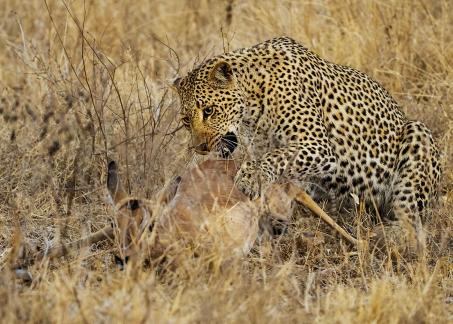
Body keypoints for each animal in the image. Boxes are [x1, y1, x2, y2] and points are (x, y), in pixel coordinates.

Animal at [171, 36, 440, 233]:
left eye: (209, 111)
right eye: (186, 120)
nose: (201, 148)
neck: (252, 104)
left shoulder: (317, 144)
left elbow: (273, 158)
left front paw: (249, 179)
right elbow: (272, 166)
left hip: (418, 135)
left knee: (412, 218)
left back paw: (393, 235)